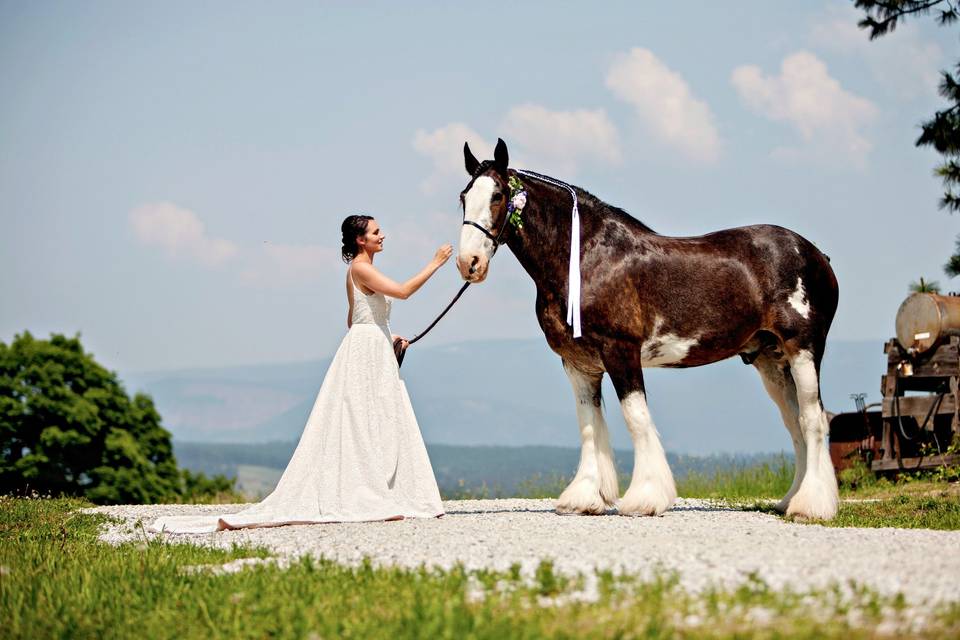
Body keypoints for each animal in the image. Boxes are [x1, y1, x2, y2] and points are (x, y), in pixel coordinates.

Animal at [458, 139, 840, 520]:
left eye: (497, 196)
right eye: (463, 197)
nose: (468, 263)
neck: (586, 258)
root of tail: (815, 255)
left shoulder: (621, 351)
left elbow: (636, 419)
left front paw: (645, 498)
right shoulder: (578, 363)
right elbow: (589, 424)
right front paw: (583, 498)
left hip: (803, 349)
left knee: (812, 418)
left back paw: (811, 507)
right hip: (771, 360)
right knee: (795, 422)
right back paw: (791, 501)